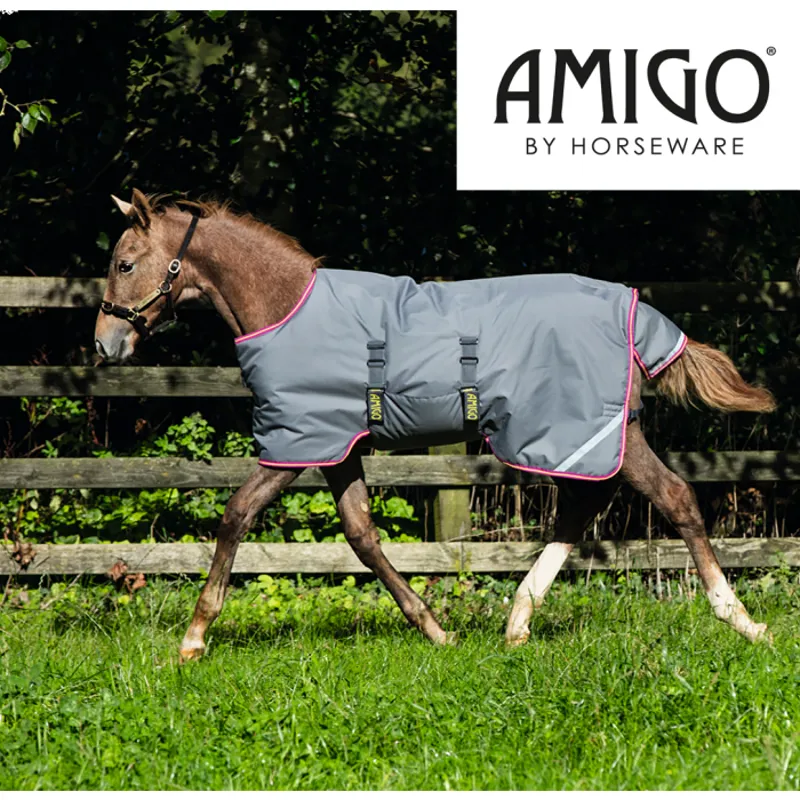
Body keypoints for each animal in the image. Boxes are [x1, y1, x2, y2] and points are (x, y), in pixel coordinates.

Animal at [95, 189, 777, 661]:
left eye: (125, 263)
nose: (105, 344)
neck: (285, 307)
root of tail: (635, 309)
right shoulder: (337, 447)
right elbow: (361, 536)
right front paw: (435, 629)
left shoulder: (297, 445)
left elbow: (236, 514)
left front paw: (193, 638)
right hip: (581, 433)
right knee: (584, 504)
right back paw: (518, 621)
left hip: (599, 430)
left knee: (673, 496)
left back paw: (742, 619)